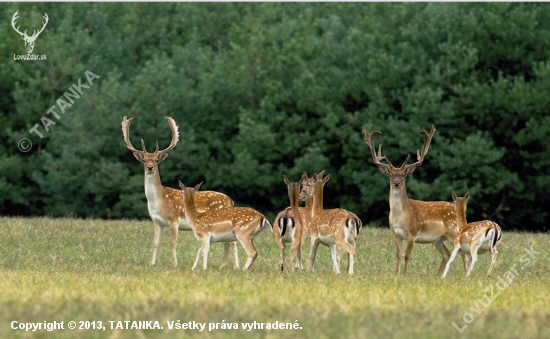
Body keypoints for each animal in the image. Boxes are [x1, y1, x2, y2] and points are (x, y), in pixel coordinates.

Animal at [123, 117, 239, 268]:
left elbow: (173, 243)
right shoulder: (156, 221)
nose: (150, 167)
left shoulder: (174, 219)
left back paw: (236, 267)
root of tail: (230, 200)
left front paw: (174, 264)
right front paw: (151, 264)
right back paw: (222, 266)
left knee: (233, 243)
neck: (159, 201)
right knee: (227, 243)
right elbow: (155, 243)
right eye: (144, 159)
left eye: (156, 160)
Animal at [366, 125, 466, 276]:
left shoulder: (412, 233)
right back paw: (438, 275)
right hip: (439, 239)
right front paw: (397, 274)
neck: (400, 215)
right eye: (390, 175)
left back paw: (466, 275)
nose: (396, 183)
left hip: (453, 233)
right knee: (447, 254)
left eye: (403, 175)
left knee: (464, 254)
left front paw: (405, 274)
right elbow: (398, 255)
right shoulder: (396, 234)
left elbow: (407, 256)